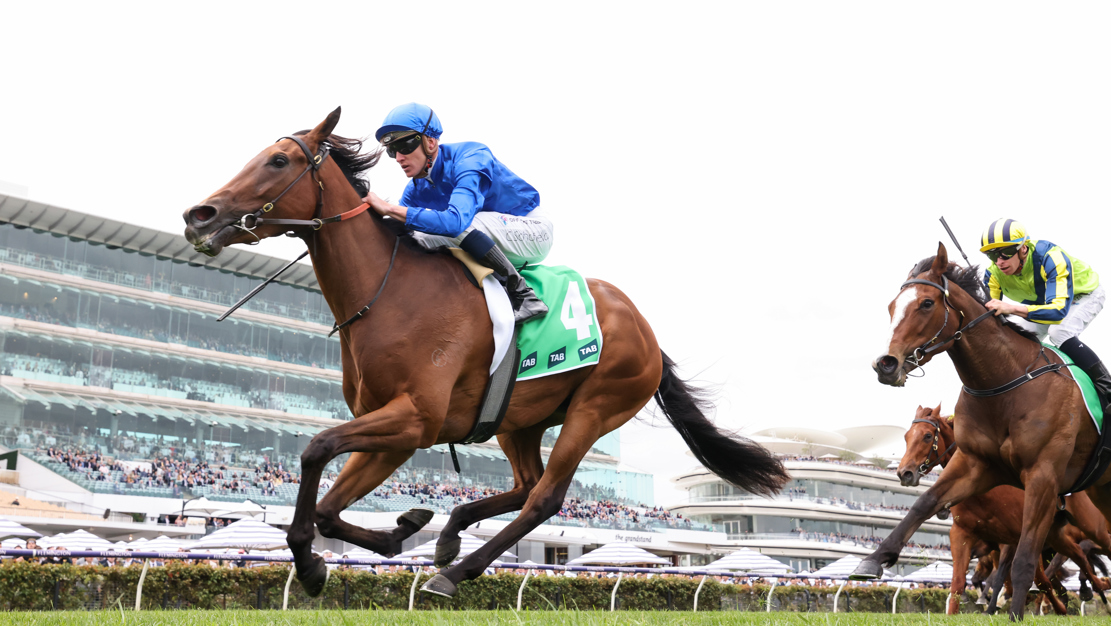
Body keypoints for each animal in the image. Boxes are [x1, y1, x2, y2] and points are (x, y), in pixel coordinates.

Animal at [181, 108, 789, 598]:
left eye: (278, 160)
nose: (198, 215)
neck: (388, 291)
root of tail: (646, 329)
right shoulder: (396, 429)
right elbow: (330, 508)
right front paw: (399, 530)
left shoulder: (414, 420)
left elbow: (315, 448)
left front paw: (312, 564)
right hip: (517, 418)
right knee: (524, 485)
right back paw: (449, 536)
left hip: (596, 407)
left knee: (545, 497)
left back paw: (454, 572)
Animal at [897, 405, 1111, 614]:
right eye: (906, 437)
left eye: (927, 436)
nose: (904, 473)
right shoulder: (965, 534)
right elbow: (960, 582)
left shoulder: (1012, 540)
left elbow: (1009, 577)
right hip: (1056, 536)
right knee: (1079, 556)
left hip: (1090, 525)